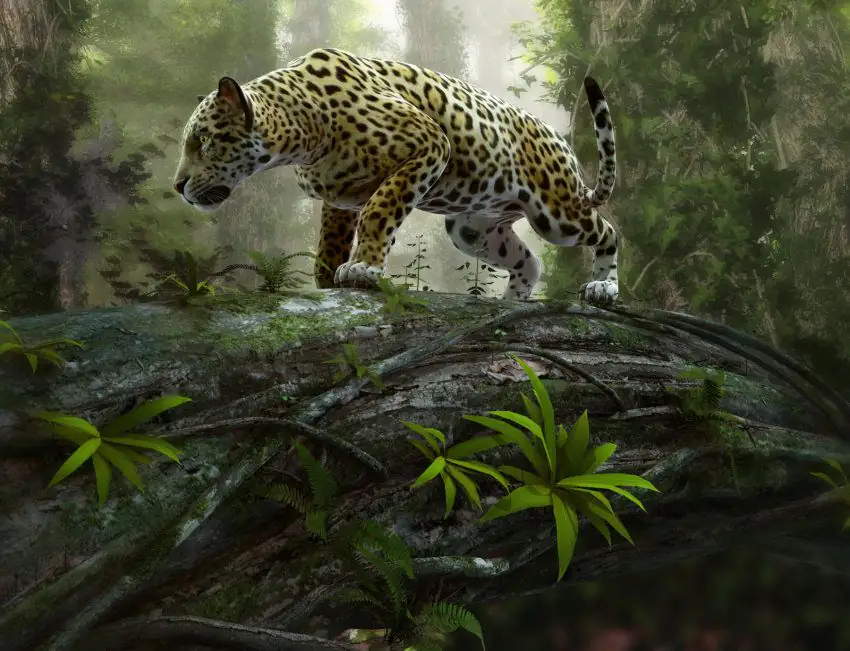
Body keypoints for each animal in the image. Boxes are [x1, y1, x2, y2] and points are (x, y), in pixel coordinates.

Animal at [173, 47, 619, 304]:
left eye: (203, 140)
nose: (177, 186)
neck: (302, 129)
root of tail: (558, 139)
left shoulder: (429, 144)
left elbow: (379, 211)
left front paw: (363, 269)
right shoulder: (340, 197)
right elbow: (329, 243)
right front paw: (328, 281)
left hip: (556, 214)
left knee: (608, 232)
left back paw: (603, 287)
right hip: (472, 230)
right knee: (530, 262)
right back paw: (508, 301)